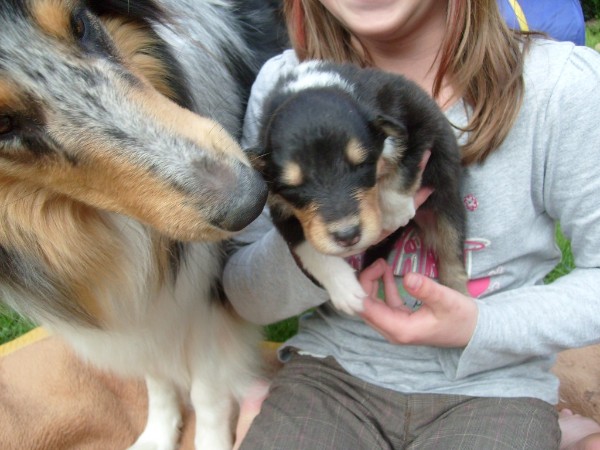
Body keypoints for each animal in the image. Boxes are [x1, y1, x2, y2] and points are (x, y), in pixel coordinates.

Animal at [0, 1, 286, 449]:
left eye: (79, 23)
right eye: (1, 124)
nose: (252, 199)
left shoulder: (212, 292)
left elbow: (207, 388)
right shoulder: (139, 303)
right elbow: (157, 375)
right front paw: (159, 433)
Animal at [249, 61, 468, 315]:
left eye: (361, 165)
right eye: (293, 186)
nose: (347, 236)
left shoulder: (419, 119)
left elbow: (406, 164)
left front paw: (395, 213)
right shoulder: (280, 208)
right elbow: (310, 250)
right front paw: (346, 291)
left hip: (446, 202)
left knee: (451, 252)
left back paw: (459, 297)